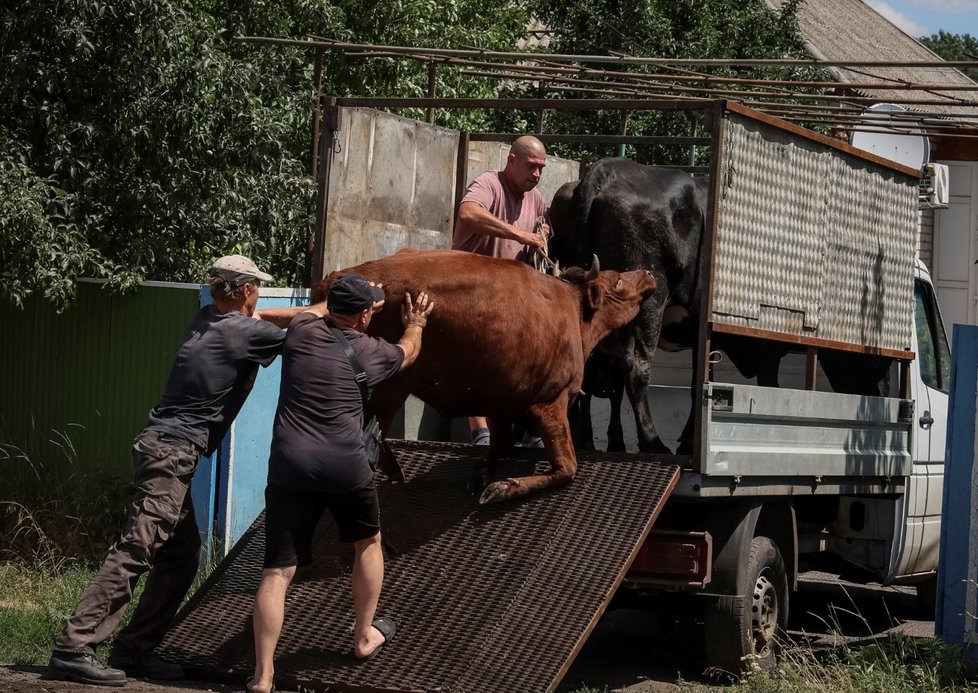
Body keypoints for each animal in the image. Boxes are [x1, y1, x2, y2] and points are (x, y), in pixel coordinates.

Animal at [314, 249, 656, 502]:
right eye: (617, 281)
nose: (649, 274)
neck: (572, 309)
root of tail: (337, 277)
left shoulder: (501, 403)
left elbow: (502, 445)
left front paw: (483, 473)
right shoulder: (550, 404)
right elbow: (566, 467)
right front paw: (503, 487)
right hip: (390, 387)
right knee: (373, 431)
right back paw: (393, 469)